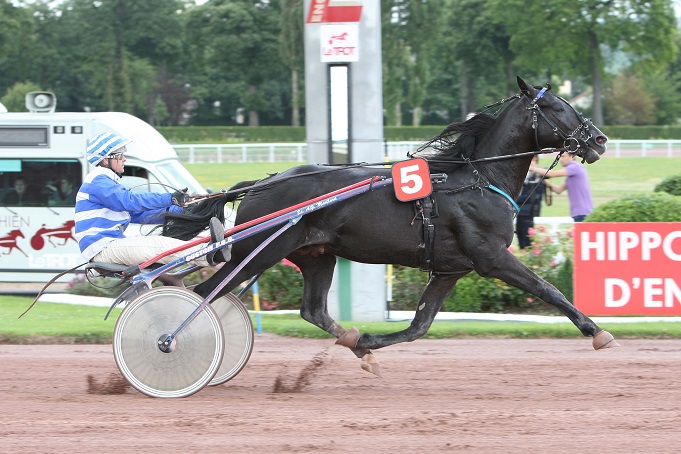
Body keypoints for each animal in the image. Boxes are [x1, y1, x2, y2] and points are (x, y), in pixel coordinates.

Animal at [174, 78, 612, 374]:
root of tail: (260, 184)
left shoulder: (451, 268)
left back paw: (353, 341)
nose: (600, 139)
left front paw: (367, 341)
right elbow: (547, 288)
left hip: (315, 255)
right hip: (258, 253)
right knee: (202, 294)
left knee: (312, 309)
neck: (477, 179)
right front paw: (595, 330)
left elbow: (420, 325)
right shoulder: (490, 257)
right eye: (557, 107)